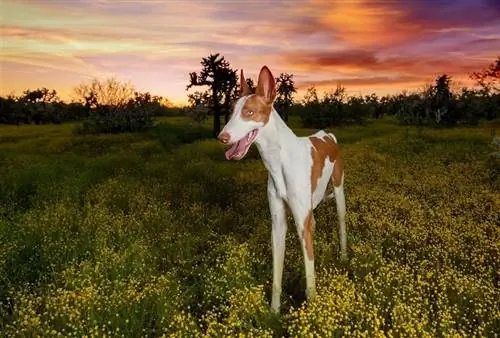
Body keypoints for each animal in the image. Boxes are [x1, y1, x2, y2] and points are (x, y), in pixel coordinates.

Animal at [219, 64, 348, 312]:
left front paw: (313, 312)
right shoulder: (278, 225)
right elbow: (277, 277)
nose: (222, 137)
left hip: (338, 194)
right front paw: (274, 312)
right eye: (231, 113)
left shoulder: (301, 223)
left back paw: (345, 256)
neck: (278, 162)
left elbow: (310, 282)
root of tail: (327, 135)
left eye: (249, 112)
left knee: (341, 225)